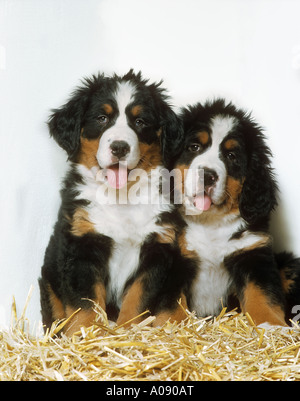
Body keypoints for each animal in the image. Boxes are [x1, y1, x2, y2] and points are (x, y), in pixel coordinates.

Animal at [39, 70, 195, 332]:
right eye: (102, 118)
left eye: (140, 122)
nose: (120, 147)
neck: (122, 198)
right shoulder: (82, 245)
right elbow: (85, 302)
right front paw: (87, 333)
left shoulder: (157, 248)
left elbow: (137, 298)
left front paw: (127, 330)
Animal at [171, 99, 300, 324]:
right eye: (194, 147)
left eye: (231, 156)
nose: (208, 175)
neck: (210, 222)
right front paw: (174, 325)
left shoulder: (253, 253)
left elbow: (262, 295)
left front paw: (272, 325)